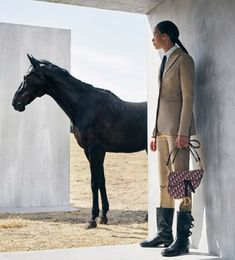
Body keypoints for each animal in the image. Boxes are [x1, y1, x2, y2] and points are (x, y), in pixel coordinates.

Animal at [12, 54, 147, 228]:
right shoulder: (91, 151)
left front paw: (92, 219)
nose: (15, 102)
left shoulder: (95, 149)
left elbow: (94, 182)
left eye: (27, 77)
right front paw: (103, 216)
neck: (84, 106)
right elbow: (101, 181)